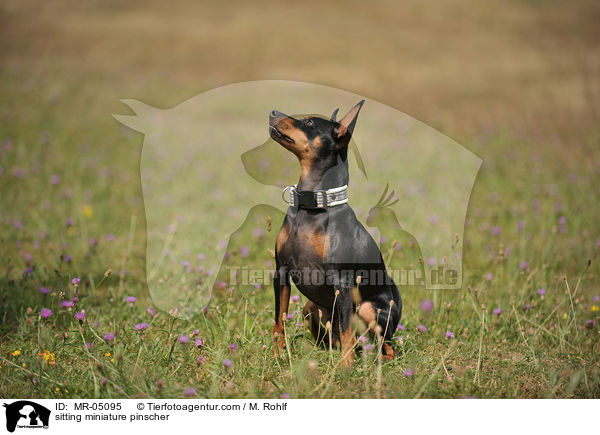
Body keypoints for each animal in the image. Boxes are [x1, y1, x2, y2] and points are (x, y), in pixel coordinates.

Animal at [268, 100, 400, 366]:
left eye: (309, 122)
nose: (273, 112)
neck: (313, 204)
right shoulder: (281, 271)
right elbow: (279, 320)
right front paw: (277, 355)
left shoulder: (342, 281)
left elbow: (347, 329)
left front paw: (345, 368)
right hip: (311, 307)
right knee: (334, 337)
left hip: (370, 309)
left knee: (385, 345)